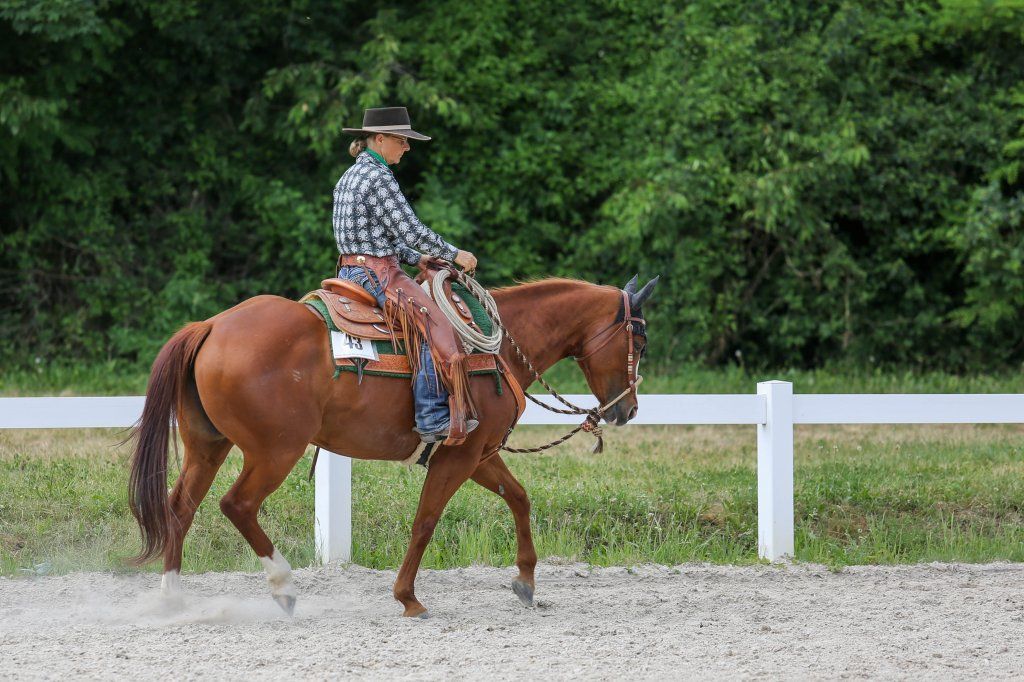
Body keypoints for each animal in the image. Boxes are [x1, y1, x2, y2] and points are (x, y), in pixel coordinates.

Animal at [128, 273, 658, 617]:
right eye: (641, 338)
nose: (628, 409)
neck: (499, 349)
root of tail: (212, 326)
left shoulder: (476, 455)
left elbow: (519, 498)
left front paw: (525, 582)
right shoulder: (460, 456)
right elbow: (425, 521)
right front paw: (408, 597)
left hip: (208, 445)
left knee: (181, 506)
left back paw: (172, 595)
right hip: (274, 451)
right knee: (236, 505)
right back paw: (282, 586)